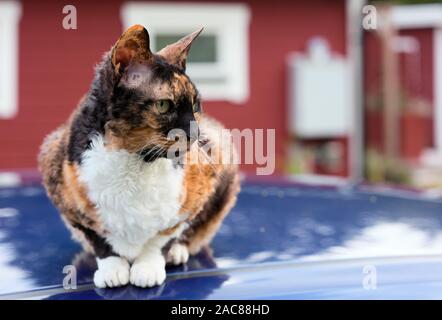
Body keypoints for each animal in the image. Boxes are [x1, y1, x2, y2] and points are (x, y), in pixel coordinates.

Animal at [39, 26, 240, 288]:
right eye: (163, 105)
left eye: (196, 105)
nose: (197, 134)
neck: (137, 161)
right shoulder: (65, 198)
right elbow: (97, 239)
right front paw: (113, 269)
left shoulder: (191, 202)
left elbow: (163, 237)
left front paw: (148, 267)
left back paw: (177, 252)